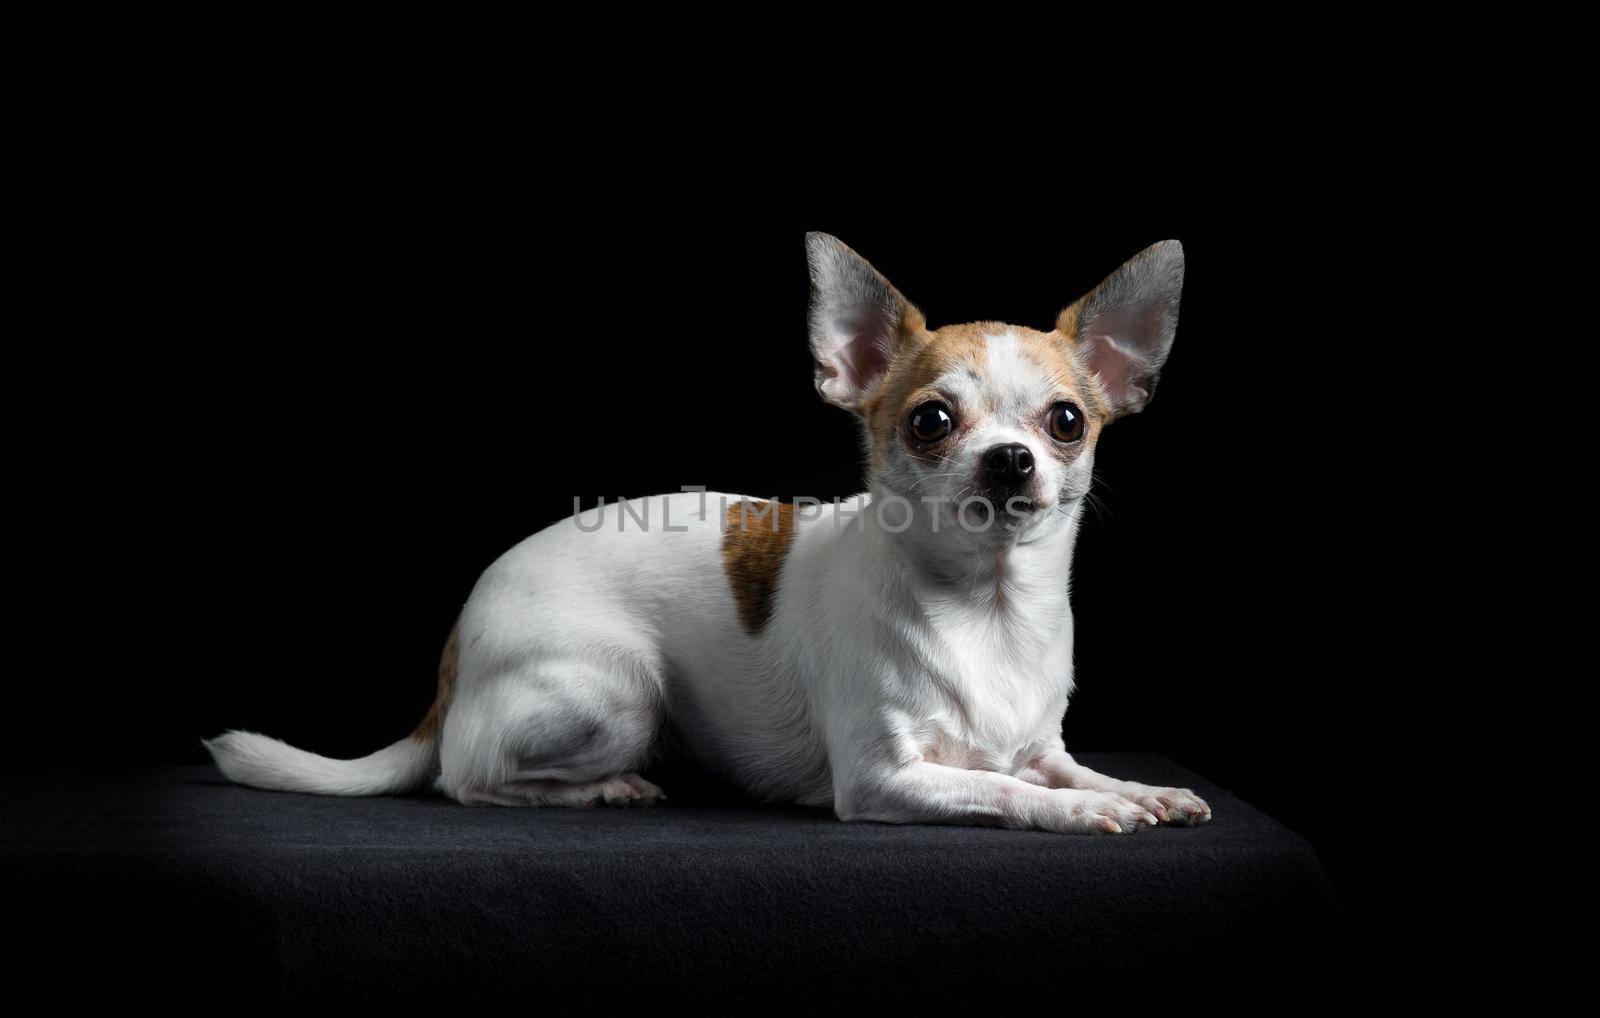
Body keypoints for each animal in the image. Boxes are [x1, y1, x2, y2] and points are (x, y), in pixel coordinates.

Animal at [209, 232, 1209, 832]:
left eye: (1066, 421)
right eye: (930, 422)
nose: (1010, 460)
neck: (986, 607)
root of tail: (455, 652)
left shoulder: (1044, 747)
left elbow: (1062, 770)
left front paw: (1140, 790)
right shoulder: (883, 779)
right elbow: (1002, 787)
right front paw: (1075, 815)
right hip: (620, 691)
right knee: (466, 774)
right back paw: (601, 786)